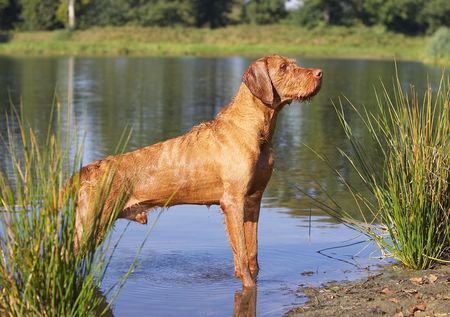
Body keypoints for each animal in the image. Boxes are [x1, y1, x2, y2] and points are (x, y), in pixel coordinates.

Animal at [74, 54, 322, 286]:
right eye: (283, 67)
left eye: (294, 64)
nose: (320, 73)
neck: (255, 130)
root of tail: (87, 170)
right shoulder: (233, 202)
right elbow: (242, 254)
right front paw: (249, 285)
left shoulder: (254, 199)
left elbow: (252, 253)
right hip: (89, 225)